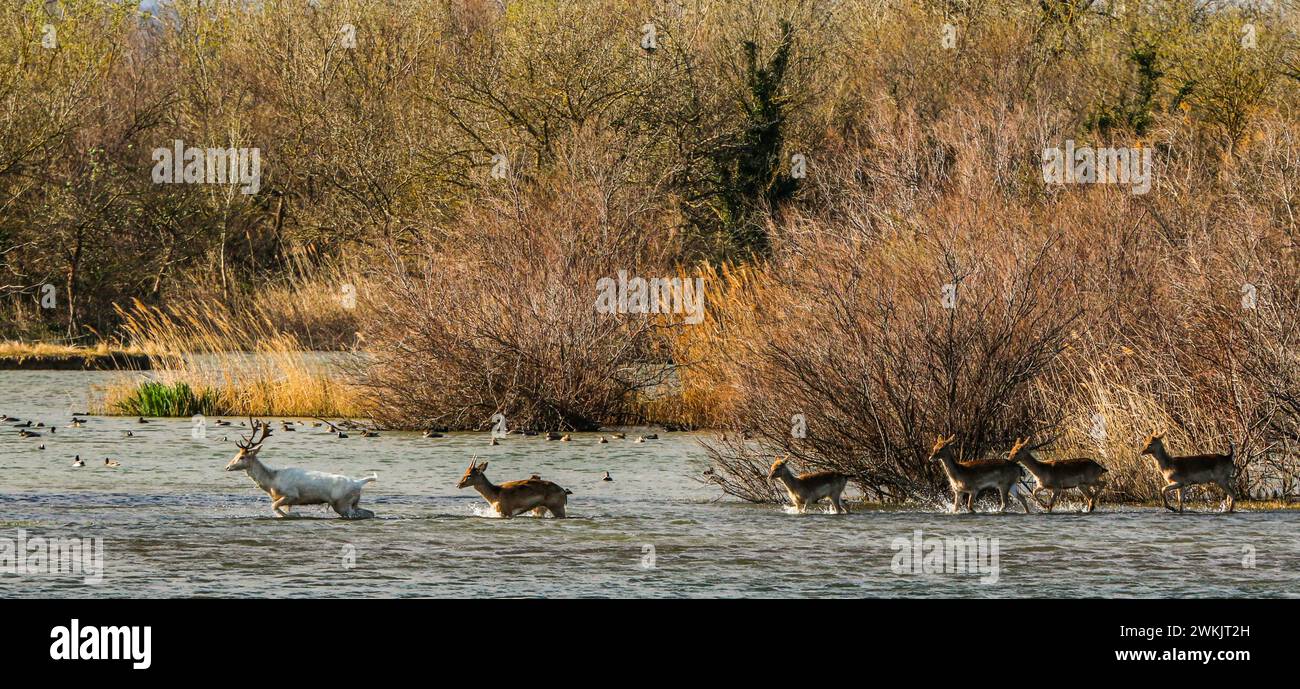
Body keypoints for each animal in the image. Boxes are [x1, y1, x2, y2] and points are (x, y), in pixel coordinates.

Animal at [224, 419, 378, 519]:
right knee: (370, 513)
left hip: (342, 503)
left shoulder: (292, 494)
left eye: (242, 457)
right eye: (237, 454)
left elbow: (274, 507)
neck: (272, 483)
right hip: (352, 503)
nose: (227, 467)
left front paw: (295, 514)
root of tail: (359, 482)